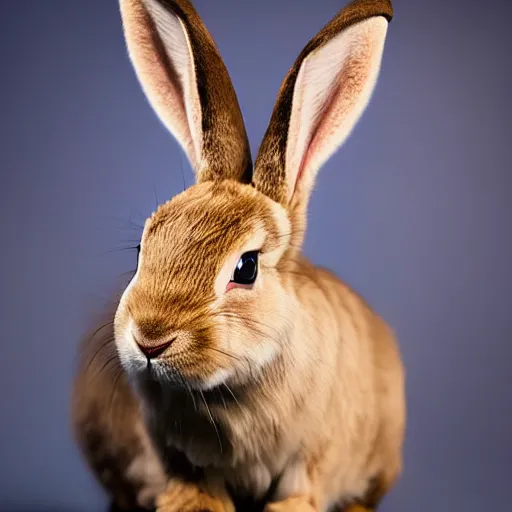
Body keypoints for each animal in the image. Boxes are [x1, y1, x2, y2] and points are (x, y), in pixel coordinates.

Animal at [70, 1, 406, 512]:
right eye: (143, 247)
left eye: (245, 268)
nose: (150, 339)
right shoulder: (174, 452)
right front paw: (189, 503)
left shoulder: (313, 458)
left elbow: (301, 490)